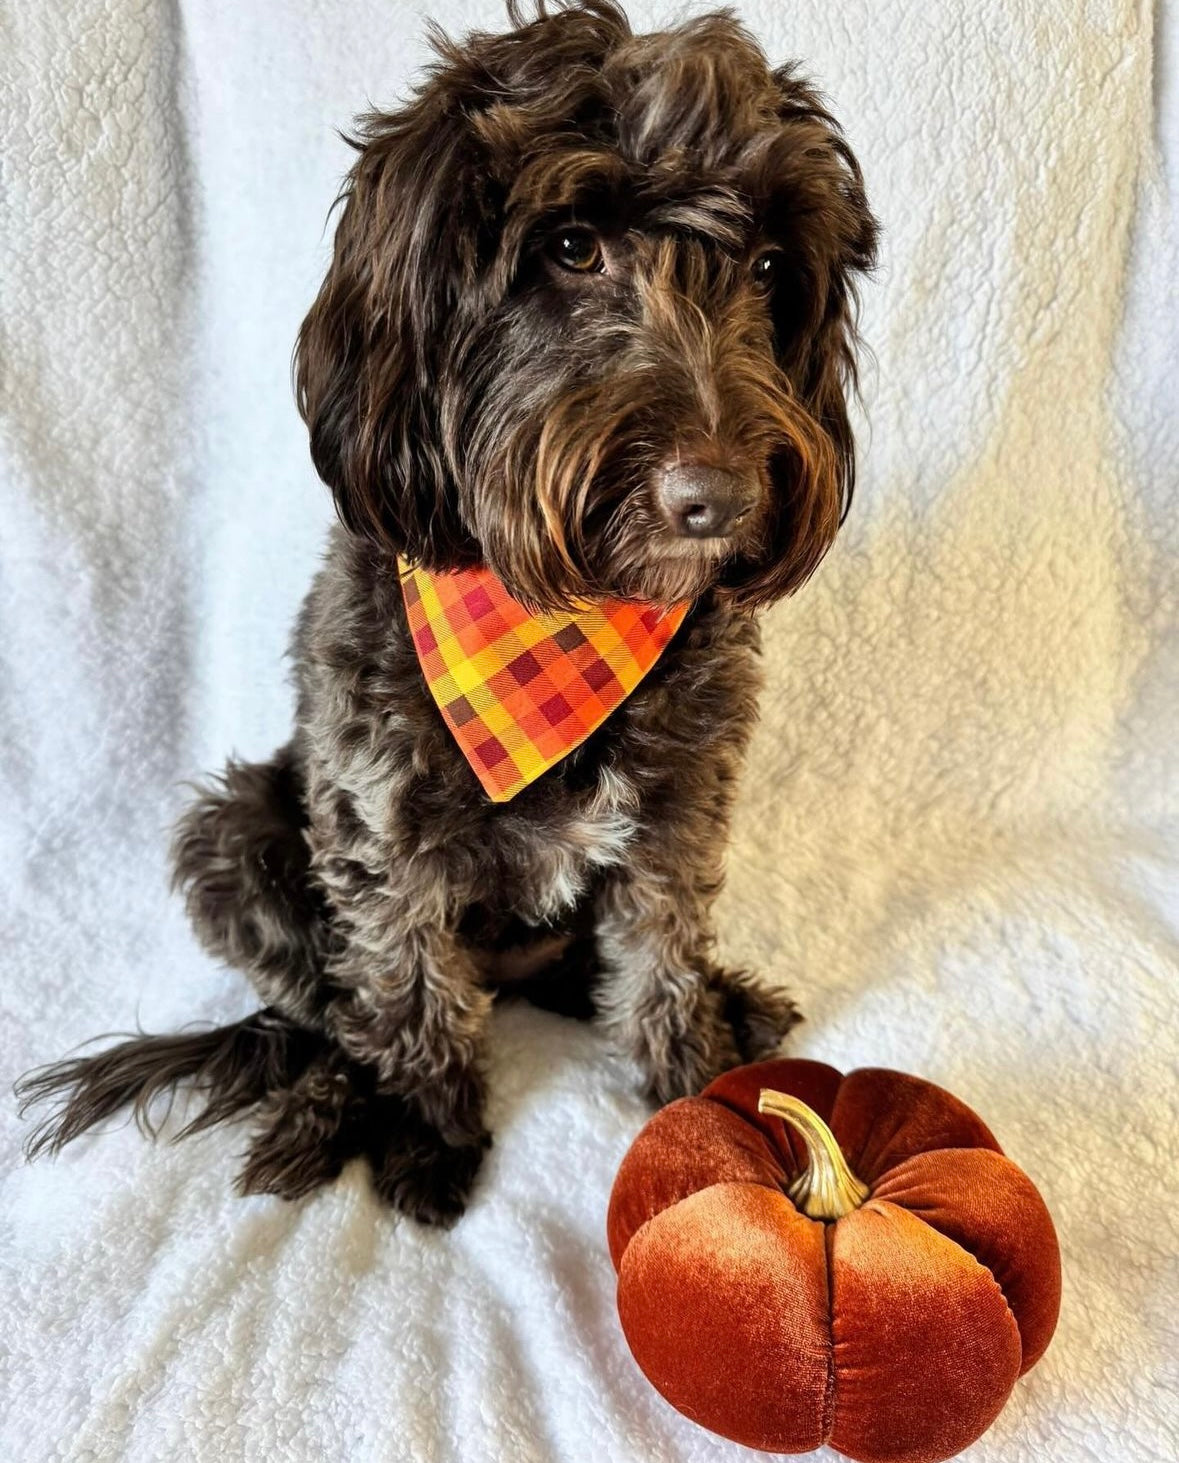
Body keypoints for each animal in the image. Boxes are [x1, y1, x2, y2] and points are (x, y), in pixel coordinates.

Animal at [13, 0, 871, 1223]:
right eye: (571, 247)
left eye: (764, 268)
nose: (719, 496)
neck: (566, 610)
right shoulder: (378, 825)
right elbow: (406, 987)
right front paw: (427, 1132)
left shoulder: (679, 806)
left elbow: (659, 952)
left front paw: (694, 1079)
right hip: (239, 832)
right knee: (328, 1011)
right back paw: (323, 1106)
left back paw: (728, 1002)